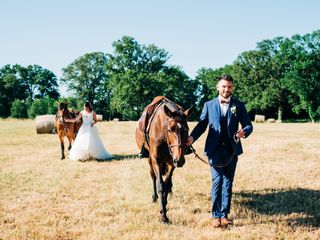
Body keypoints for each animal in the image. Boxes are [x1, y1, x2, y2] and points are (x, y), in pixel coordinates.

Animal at [135, 96, 192, 224]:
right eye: (170, 129)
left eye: (186, 129)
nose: (180, 160)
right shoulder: (156, 159)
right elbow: (160, 185)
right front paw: (163, 215)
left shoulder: (171, 162)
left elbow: (166, 183)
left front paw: (165, 205)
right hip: (150, 158)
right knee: (153, 176)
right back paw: (154, 197)